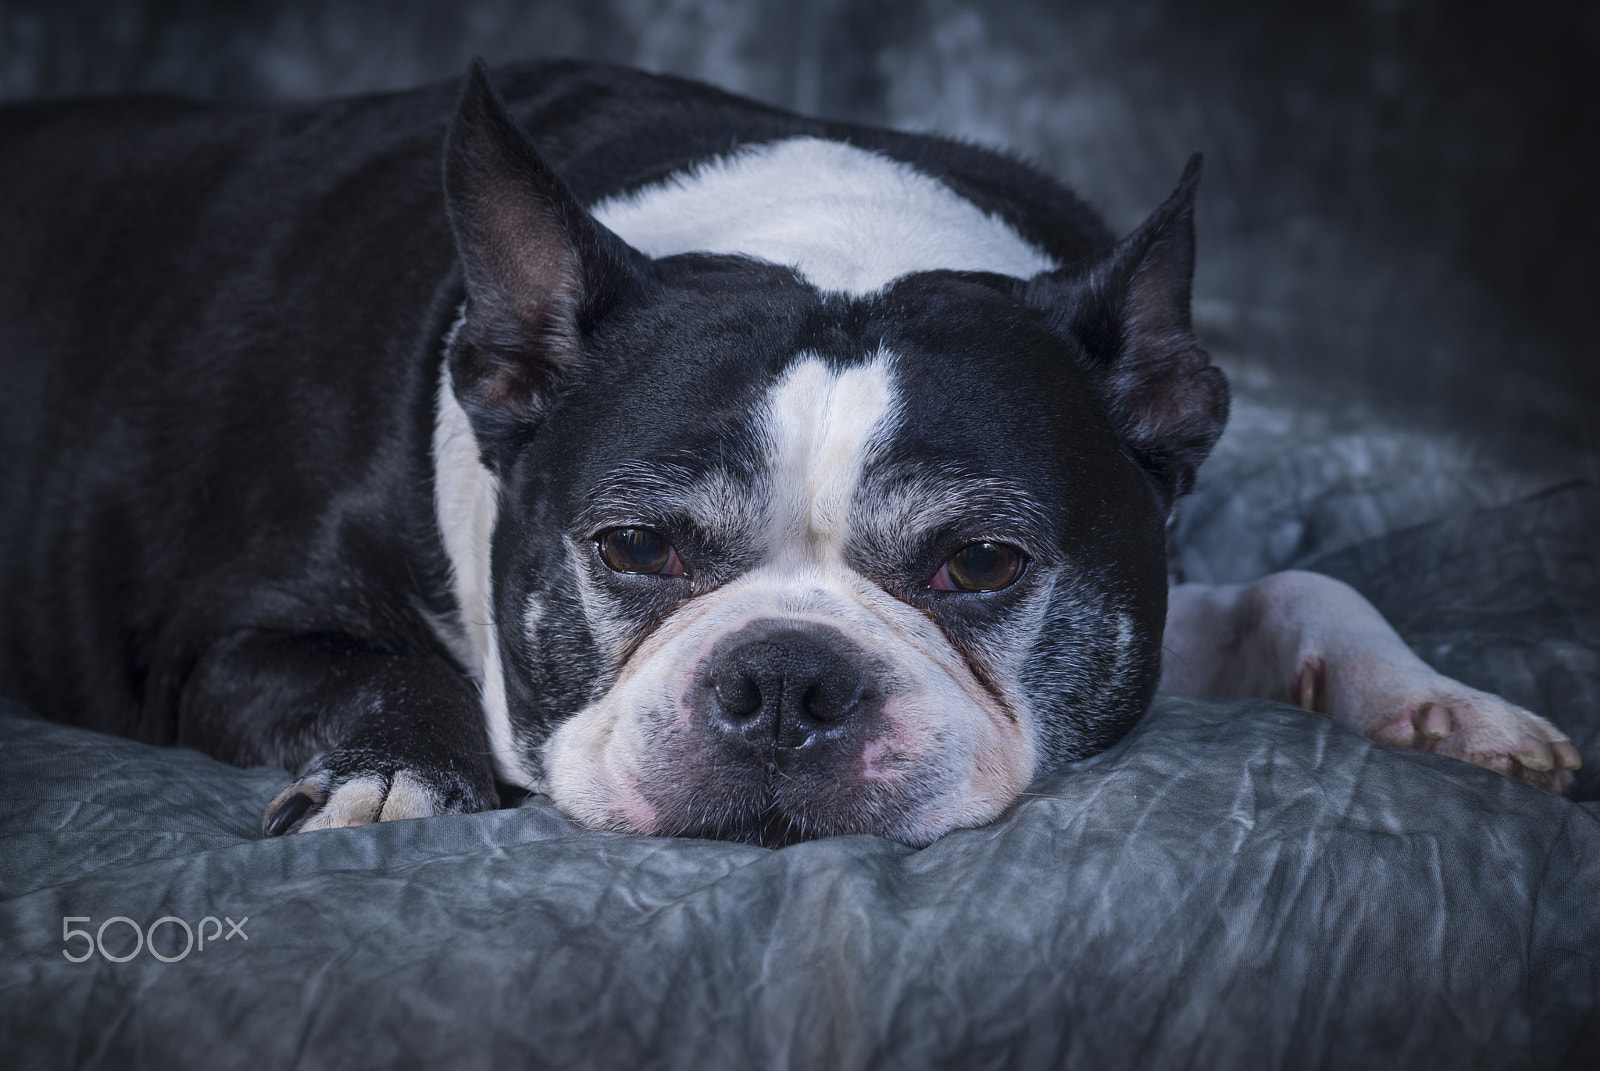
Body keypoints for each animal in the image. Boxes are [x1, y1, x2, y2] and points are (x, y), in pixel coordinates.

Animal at [0, 60, 1574, 845]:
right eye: (634, 548)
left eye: (982, 562)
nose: (783, 681)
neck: (830, 232)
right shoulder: (217, 638)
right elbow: (378, 669)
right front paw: (400, 777)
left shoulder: (1153, 580)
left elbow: (1305, 588)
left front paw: (1445, 708)